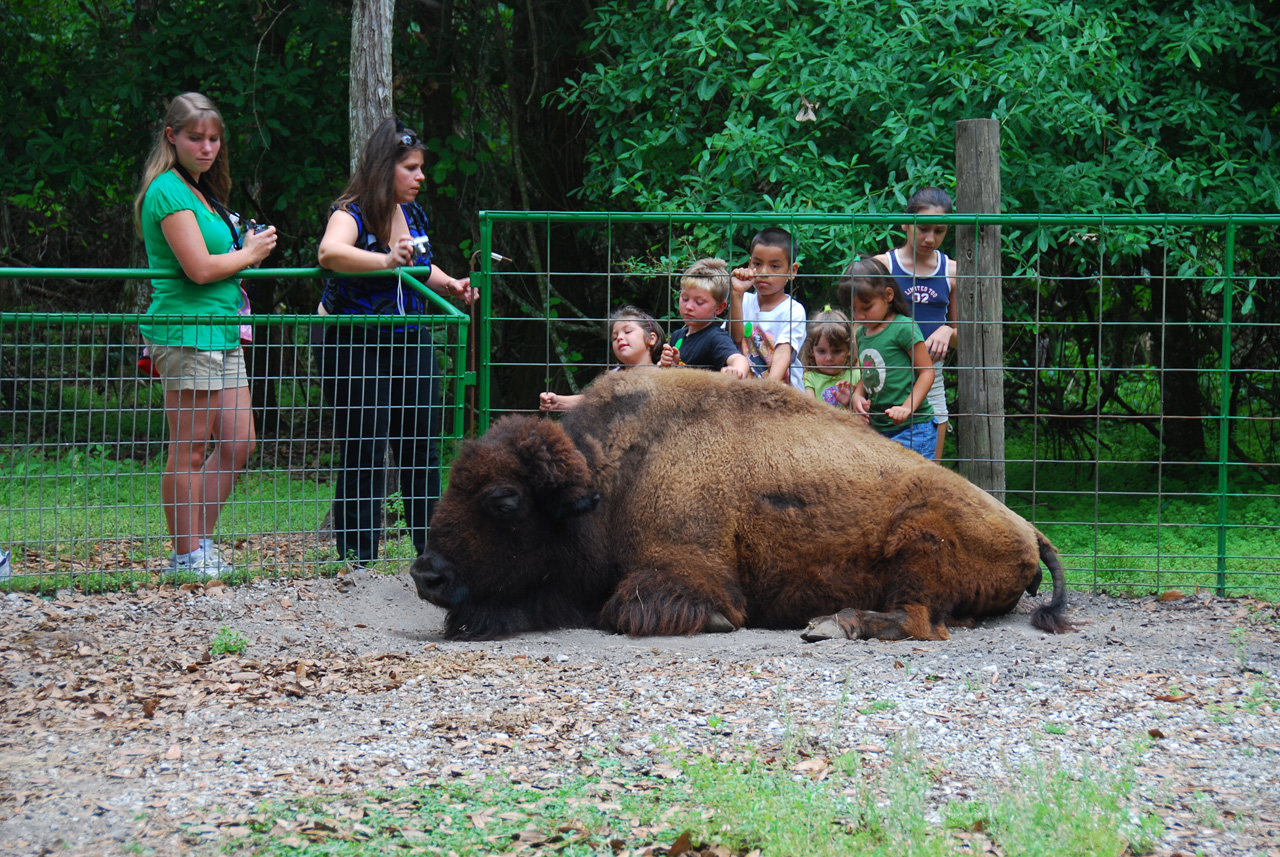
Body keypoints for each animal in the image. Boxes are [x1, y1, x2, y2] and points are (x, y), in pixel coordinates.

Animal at [409, 368, 1070, 644]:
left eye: (504, 501)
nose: (426, 574)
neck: (612, 476)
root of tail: (1028, 530)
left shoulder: (685, 569)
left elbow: (631, 610)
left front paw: (719, 623)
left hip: (920, 541)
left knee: (919, 619)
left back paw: (836, 624)